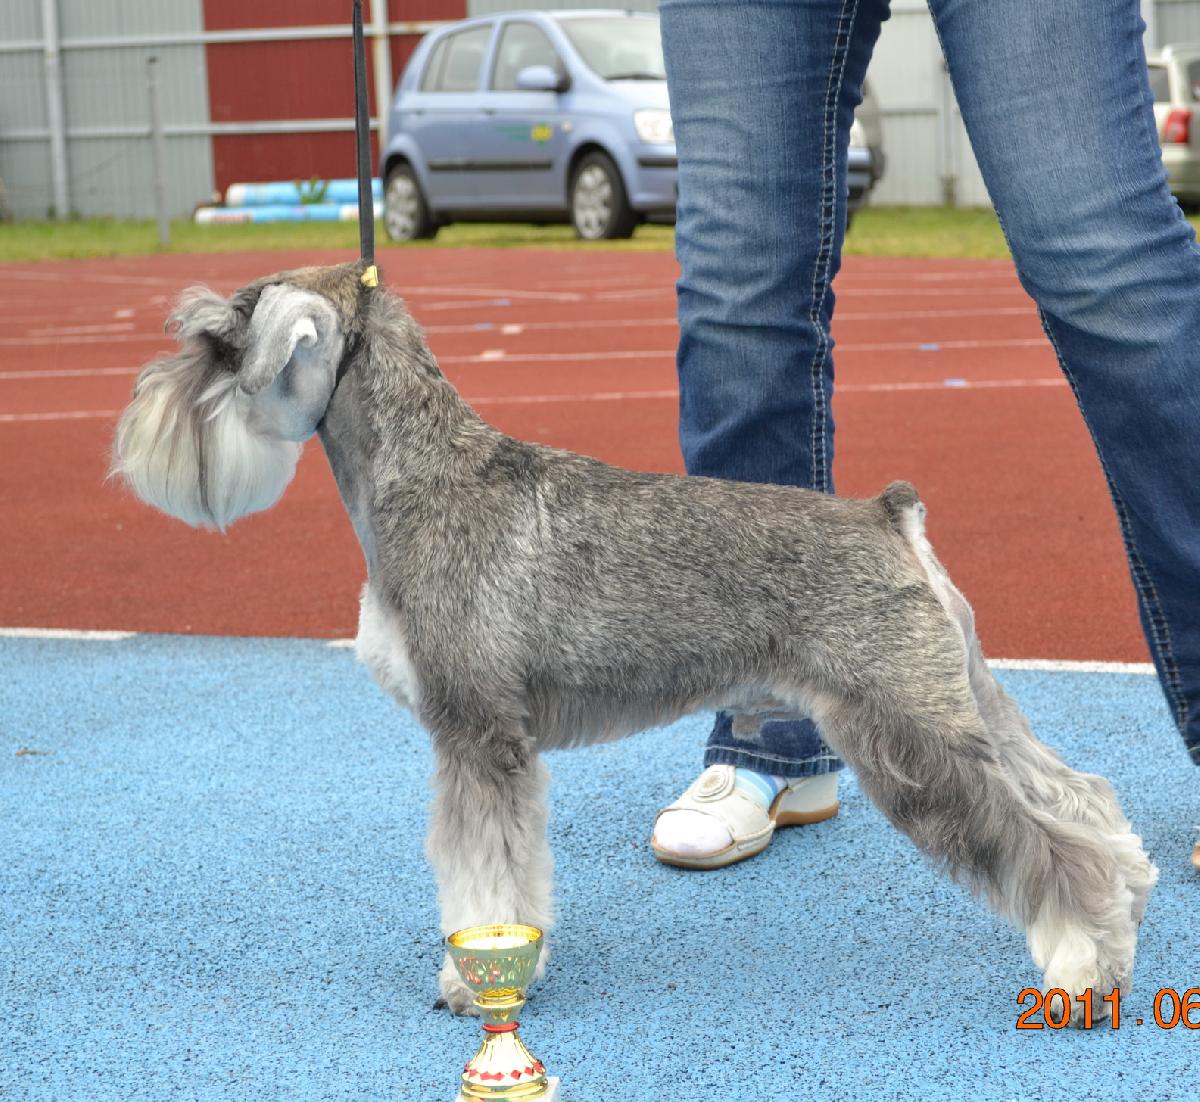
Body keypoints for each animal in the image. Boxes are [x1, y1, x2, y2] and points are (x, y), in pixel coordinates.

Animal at [111, 261, 1156, 1024]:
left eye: (216, 344)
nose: (135, 427)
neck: (424, 473)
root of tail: (889, 516)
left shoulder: (477, 736)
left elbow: (480, 876)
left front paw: (473, 982)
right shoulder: (493, 746)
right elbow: (508, 873)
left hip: (907, 732)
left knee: (1045, 843)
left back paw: (1086, 961)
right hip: (963, 698)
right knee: (1076, 795)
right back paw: (1130, 895)